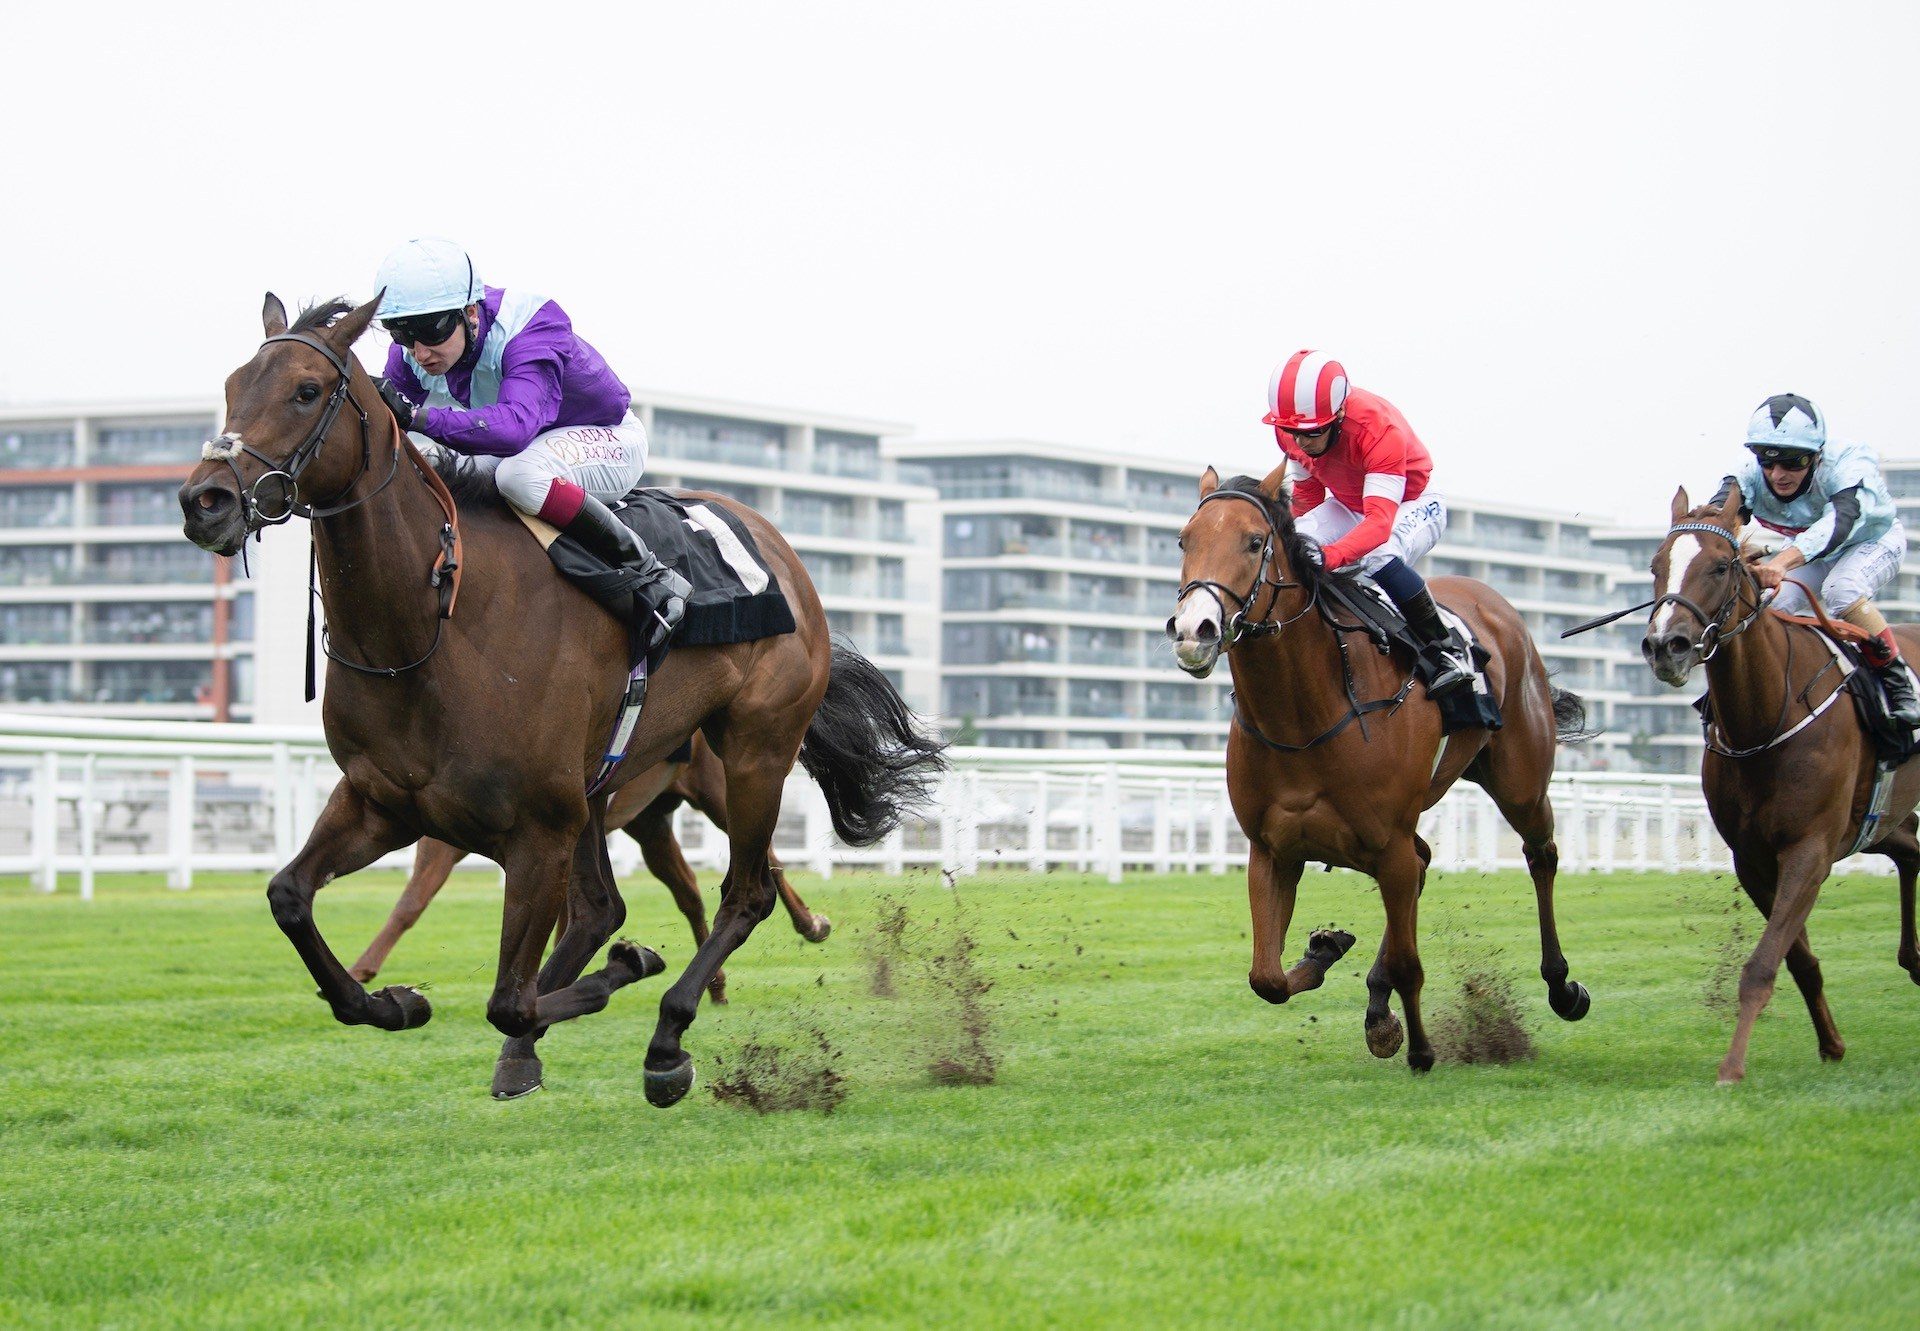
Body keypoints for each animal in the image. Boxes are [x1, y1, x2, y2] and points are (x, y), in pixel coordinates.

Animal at [349, 733, 829, 998]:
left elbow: (414, 901)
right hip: (649, 822)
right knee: (689, 890)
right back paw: (716, 984)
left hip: (718, 791)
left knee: (767, 859)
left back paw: (811, 924)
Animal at [1167, 466, 1589, 1067]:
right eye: (1185, 540)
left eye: (1253, 542)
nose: (1193, 632)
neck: (1304, 716)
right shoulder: (1272, 850)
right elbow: (1266, 978)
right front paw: (1326, 953)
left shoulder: (1386, 843)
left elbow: (1412, 963)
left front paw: (1421, 1050)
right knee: (1426, 860)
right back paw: (1375, 998)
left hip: (1519, 785)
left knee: (1540, 855)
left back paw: (1561, 985)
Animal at [1635, 487, 1920, 1083]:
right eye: (1656, 565)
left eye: (1721, 566)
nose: (1665, 646)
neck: (1767, 716)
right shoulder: (1754, 858)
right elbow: (1799, 960)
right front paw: (1831, 1044)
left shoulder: (1810, 850)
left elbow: (1764, 963)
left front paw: (1732, 1066)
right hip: (1881, 821)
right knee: (1912, 852)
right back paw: (1916, 961)